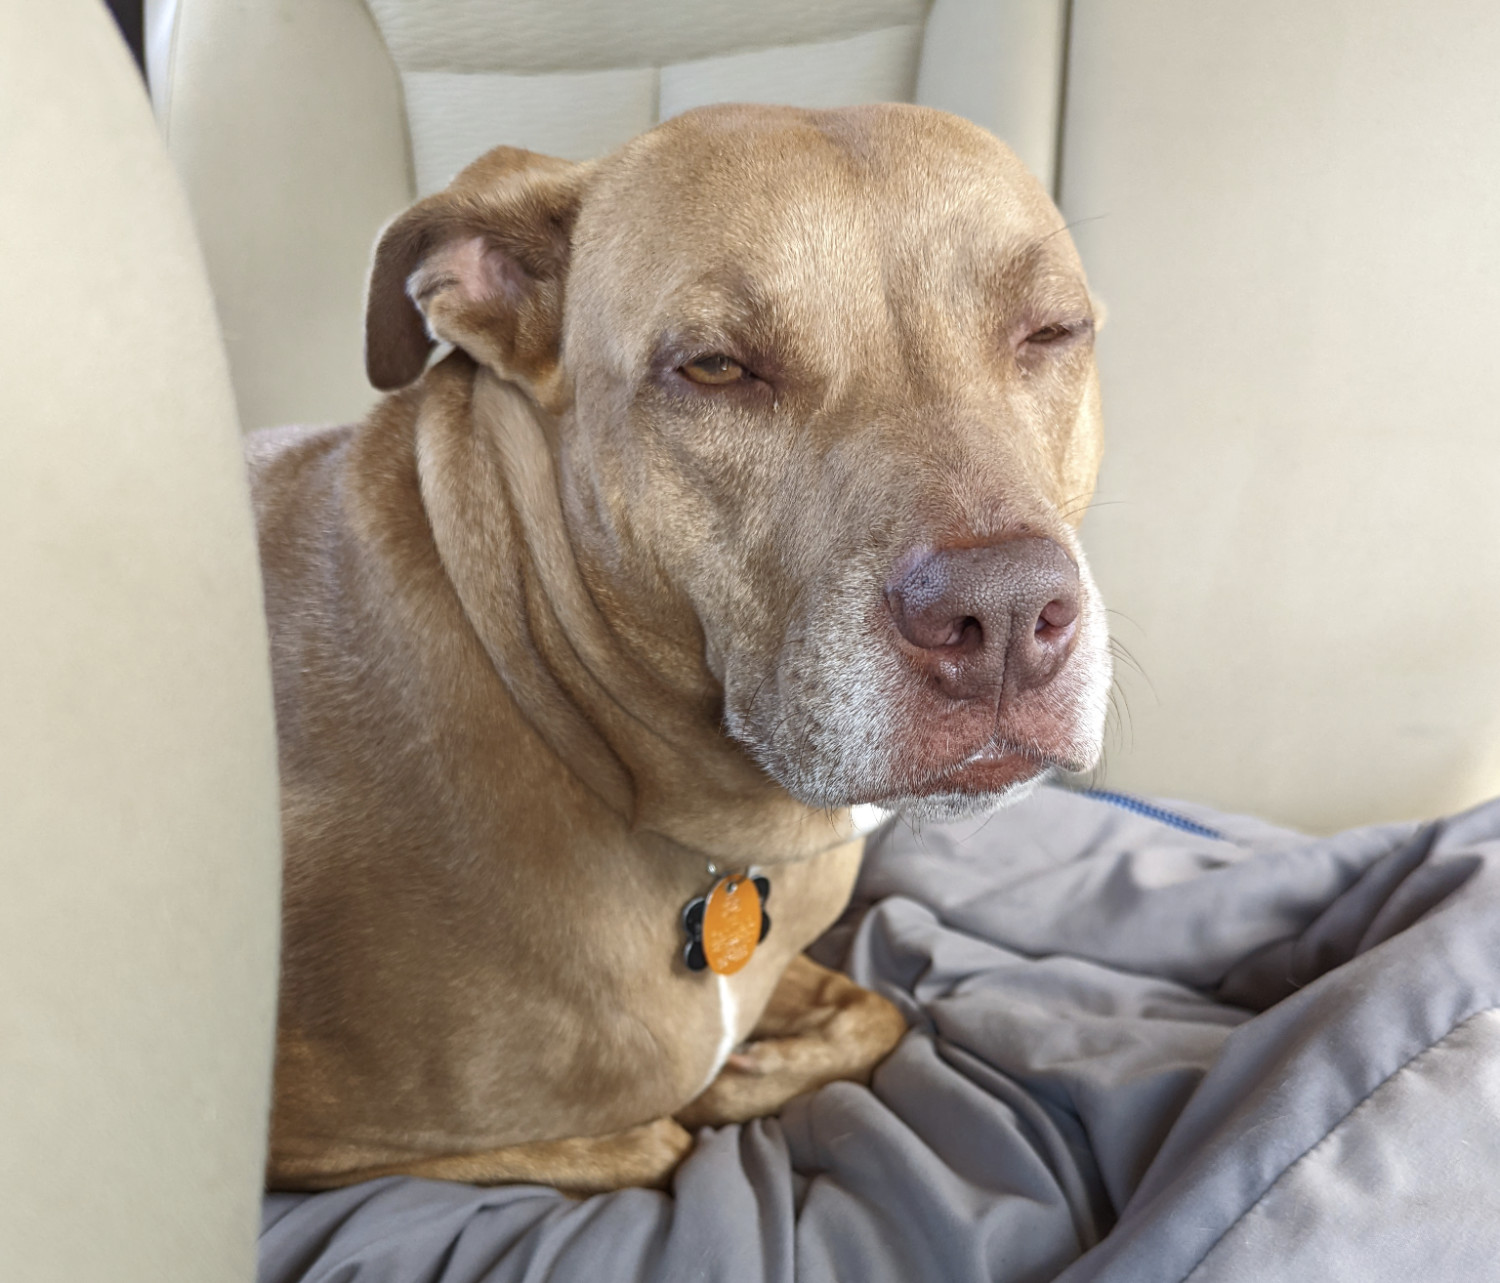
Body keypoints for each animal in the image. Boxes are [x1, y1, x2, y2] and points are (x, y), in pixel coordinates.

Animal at [252, 105, 1110, 1200]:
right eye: (714, 367)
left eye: (1051, 331)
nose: (1001, 614)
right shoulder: (304, 1144)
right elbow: (655, 1132)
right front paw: (713, 1097)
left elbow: (878, 1009)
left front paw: (760, 1066)